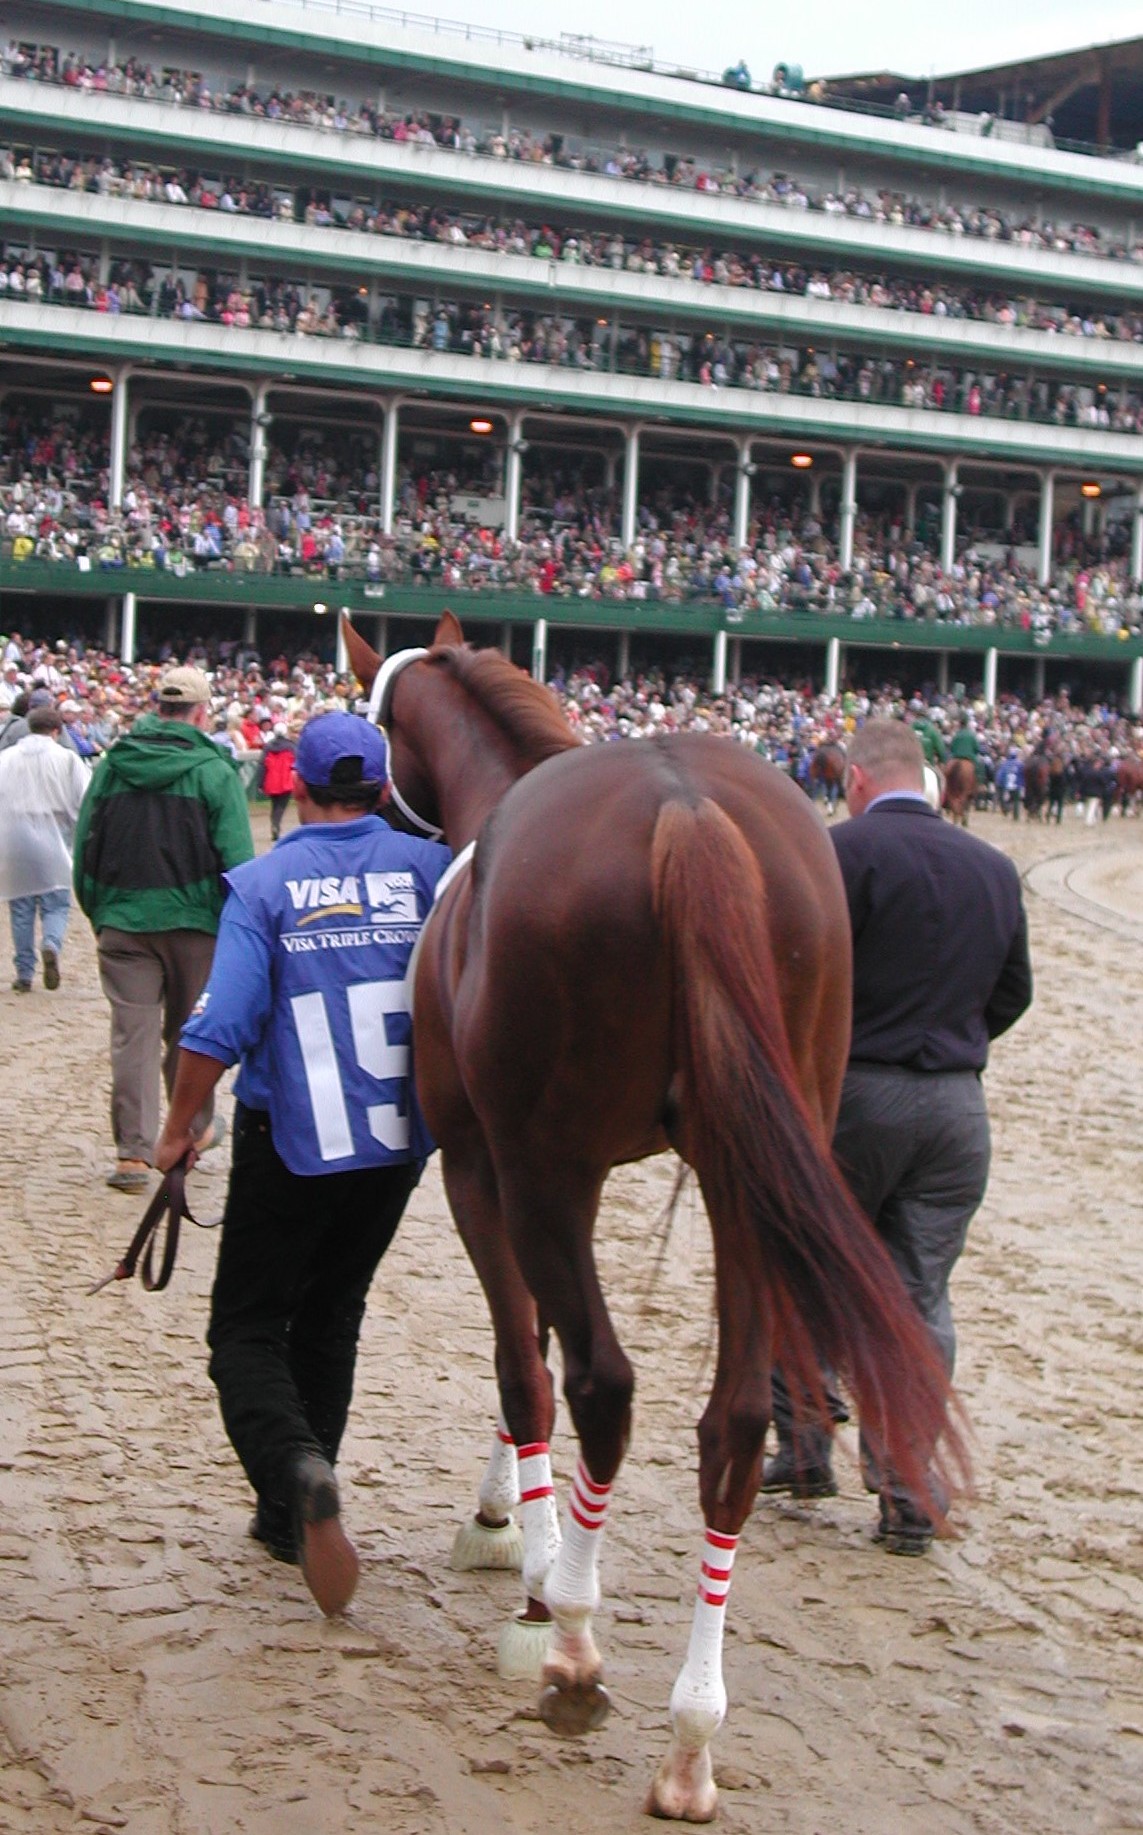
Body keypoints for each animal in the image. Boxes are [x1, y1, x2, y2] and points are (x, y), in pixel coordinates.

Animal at [344, 612, 961, 1820]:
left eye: (372, 720)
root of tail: (685, 806)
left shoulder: (486, 1166)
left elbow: (523, 1361)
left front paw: (530, 1569)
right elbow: (538, 1346)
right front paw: (514, 1523)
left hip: (555, 1161)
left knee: (603, 1384)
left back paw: (578, 1650)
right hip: (752, 1164)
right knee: (732, 1425)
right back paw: (691, 1739)